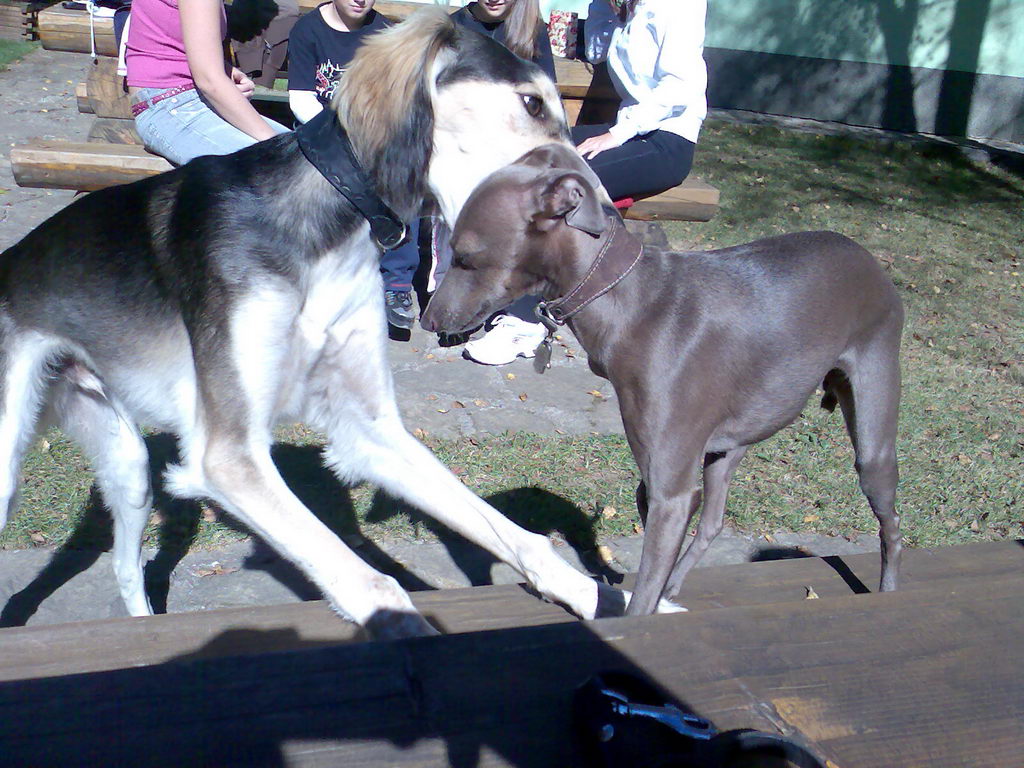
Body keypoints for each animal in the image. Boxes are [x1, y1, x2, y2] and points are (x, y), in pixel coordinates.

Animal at [0, 10, 671, 638]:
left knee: (123, 567)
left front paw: (611, 598)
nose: (609, 220)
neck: (326, 221)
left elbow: (517, 535)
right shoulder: (228, 455)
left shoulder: (366, 428)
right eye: (532, 104)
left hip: (127, 462)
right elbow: (371, 581)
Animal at [423, 143, 905, 614]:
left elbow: (641, 602)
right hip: (726, 450)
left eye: (464, 257)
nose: (428, 322)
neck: (628, 300)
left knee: (892, 525)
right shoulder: (657, 486)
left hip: (873, 429)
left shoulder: (670, 495)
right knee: (712, 522)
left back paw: (889, 588)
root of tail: (866, 257)